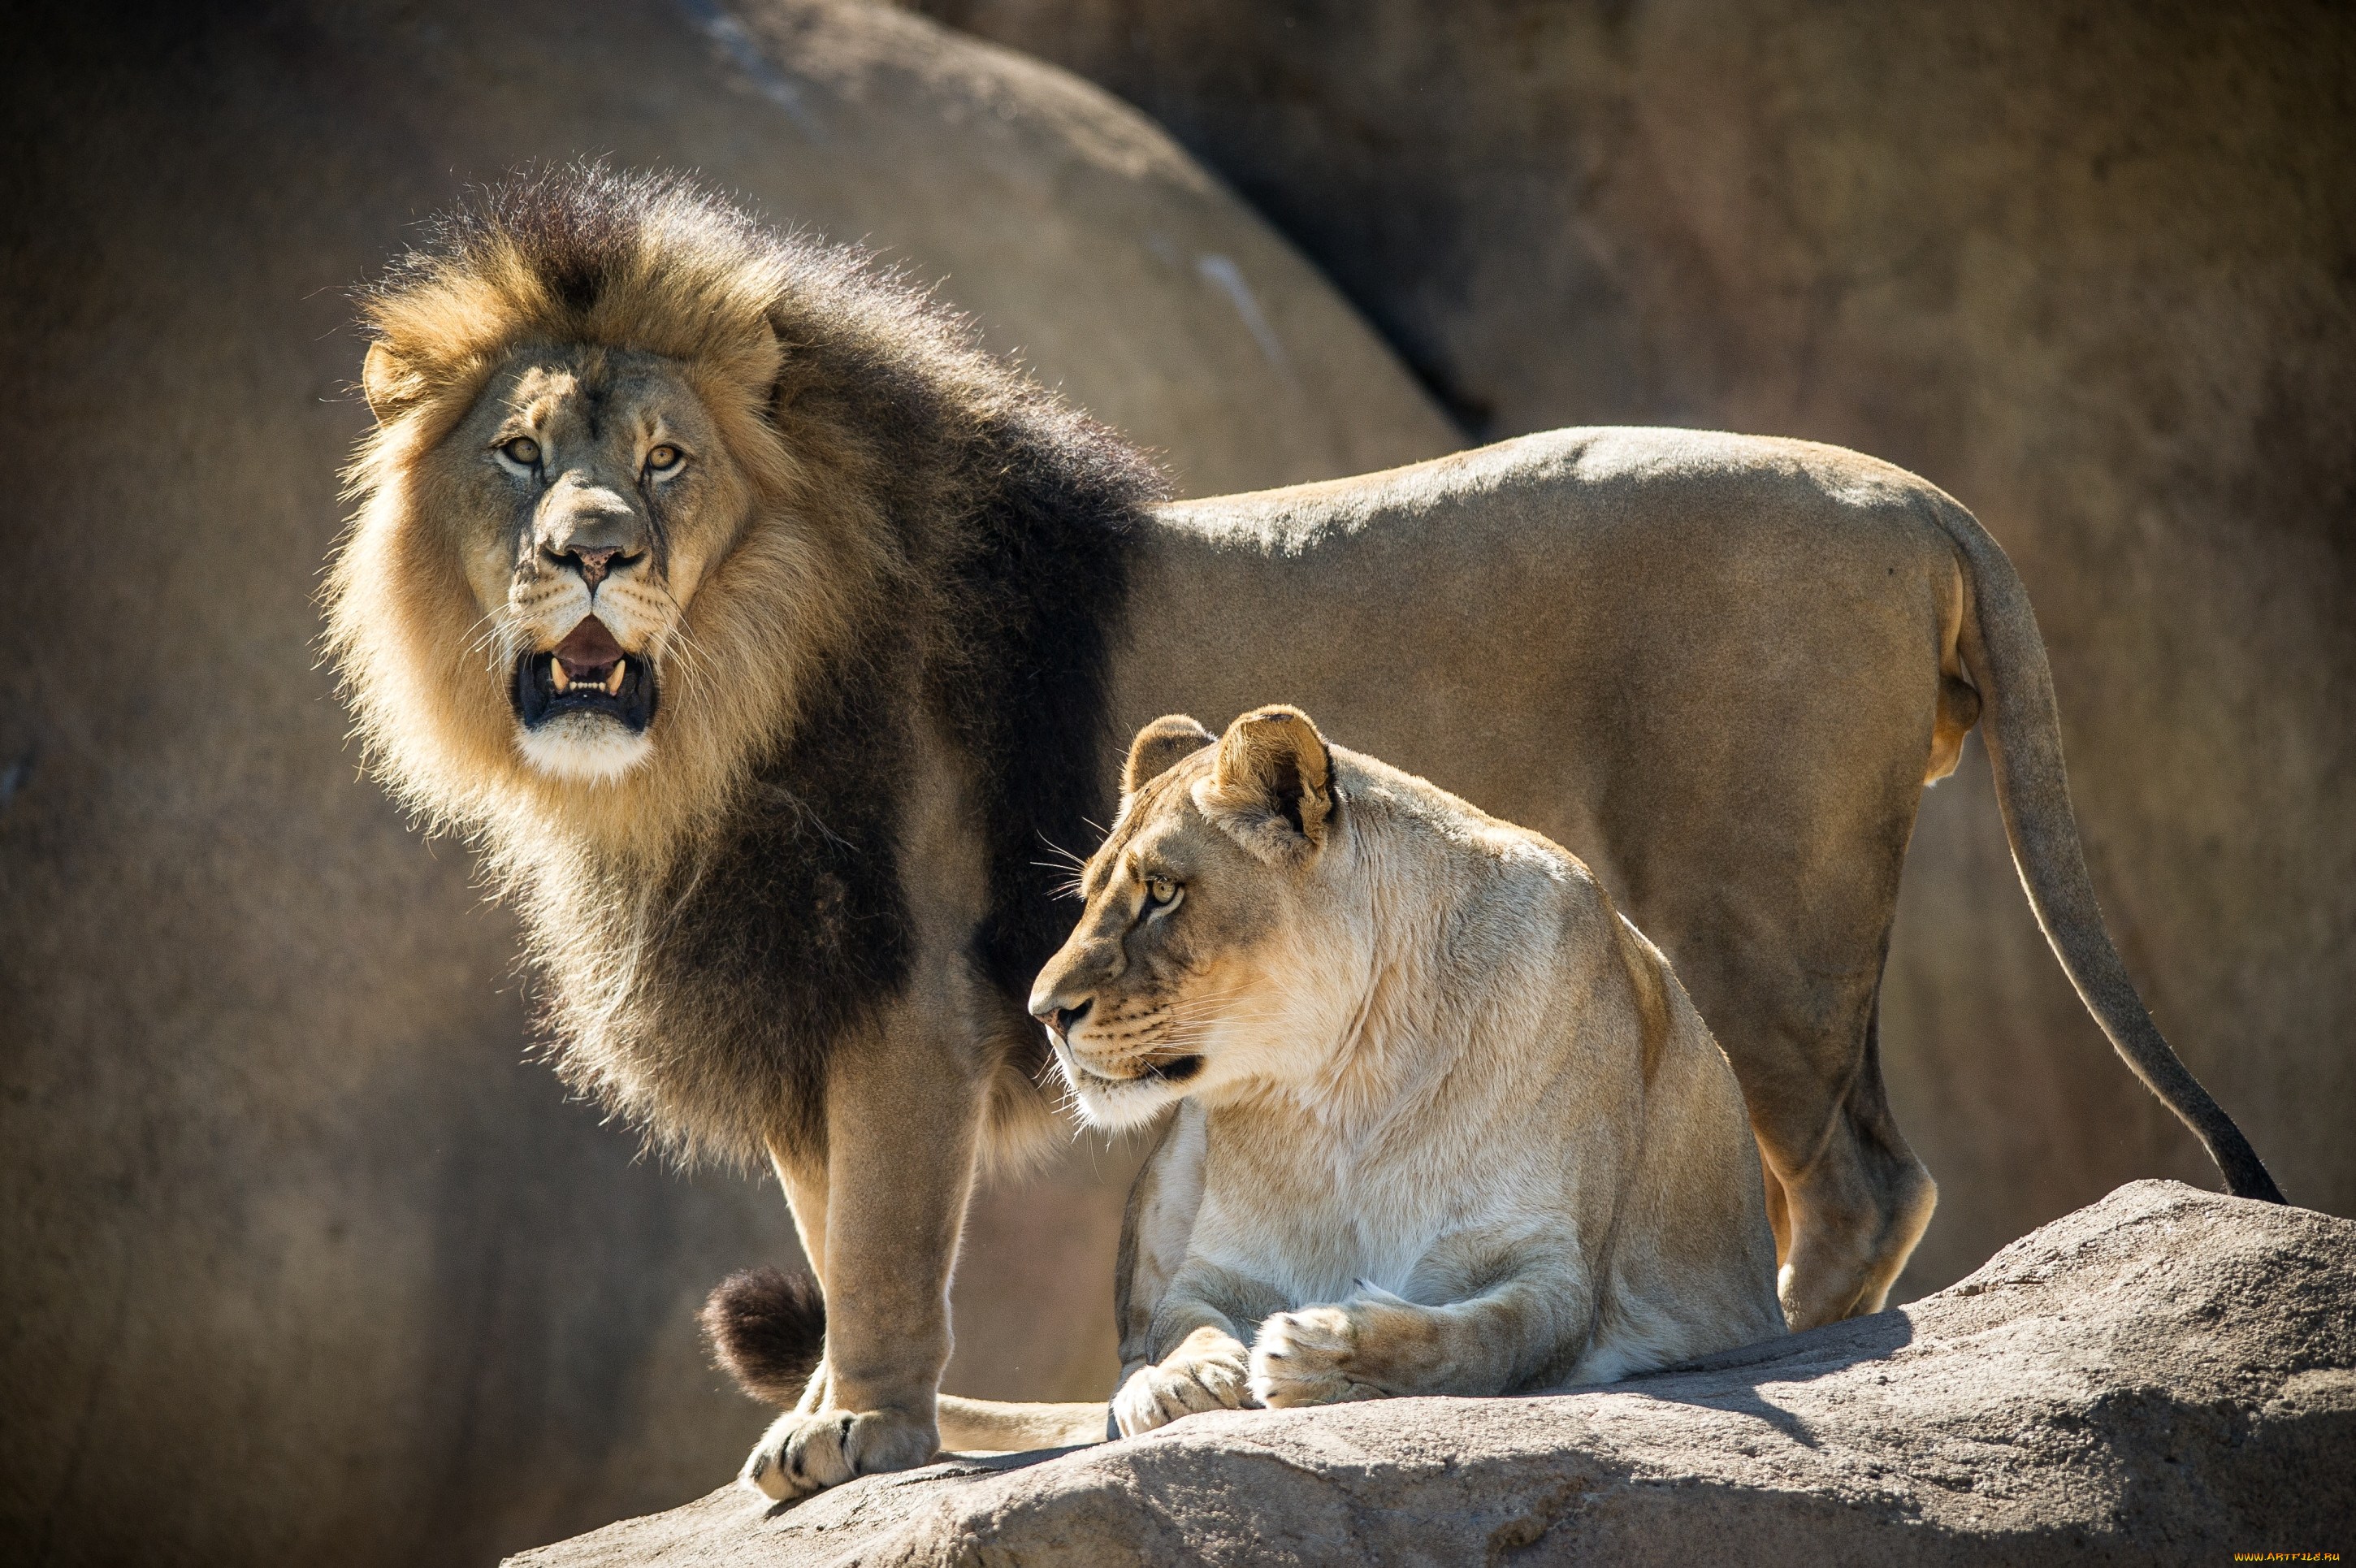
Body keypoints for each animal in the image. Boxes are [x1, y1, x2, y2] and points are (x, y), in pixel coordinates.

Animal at [323, 164, 2271, 1497]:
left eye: (663, 460)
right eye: (520, 453)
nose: (593, 552)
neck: (704, 718)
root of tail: (1916, 492)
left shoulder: (899, 993)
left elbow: (875, 1238)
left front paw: (853, 1428)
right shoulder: (796, 995)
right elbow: (825, 1220)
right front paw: (830, 1415)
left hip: (1758, 907)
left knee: (1856, 1173)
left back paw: (1744, 1337)